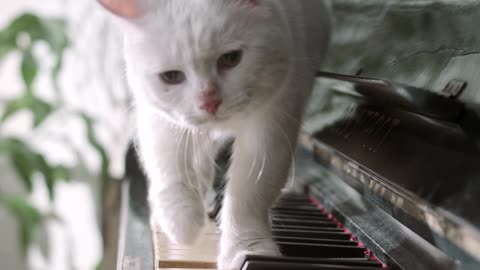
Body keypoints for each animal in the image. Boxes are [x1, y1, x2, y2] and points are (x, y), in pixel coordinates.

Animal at [97, 1, 330, 268]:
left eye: (231, 59)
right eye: (171, 76)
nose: (210, 101)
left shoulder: (273, 124)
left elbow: (248, 195)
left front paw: (247, 249)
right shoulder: (160, 118)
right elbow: (169, 168)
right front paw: (182, 225)